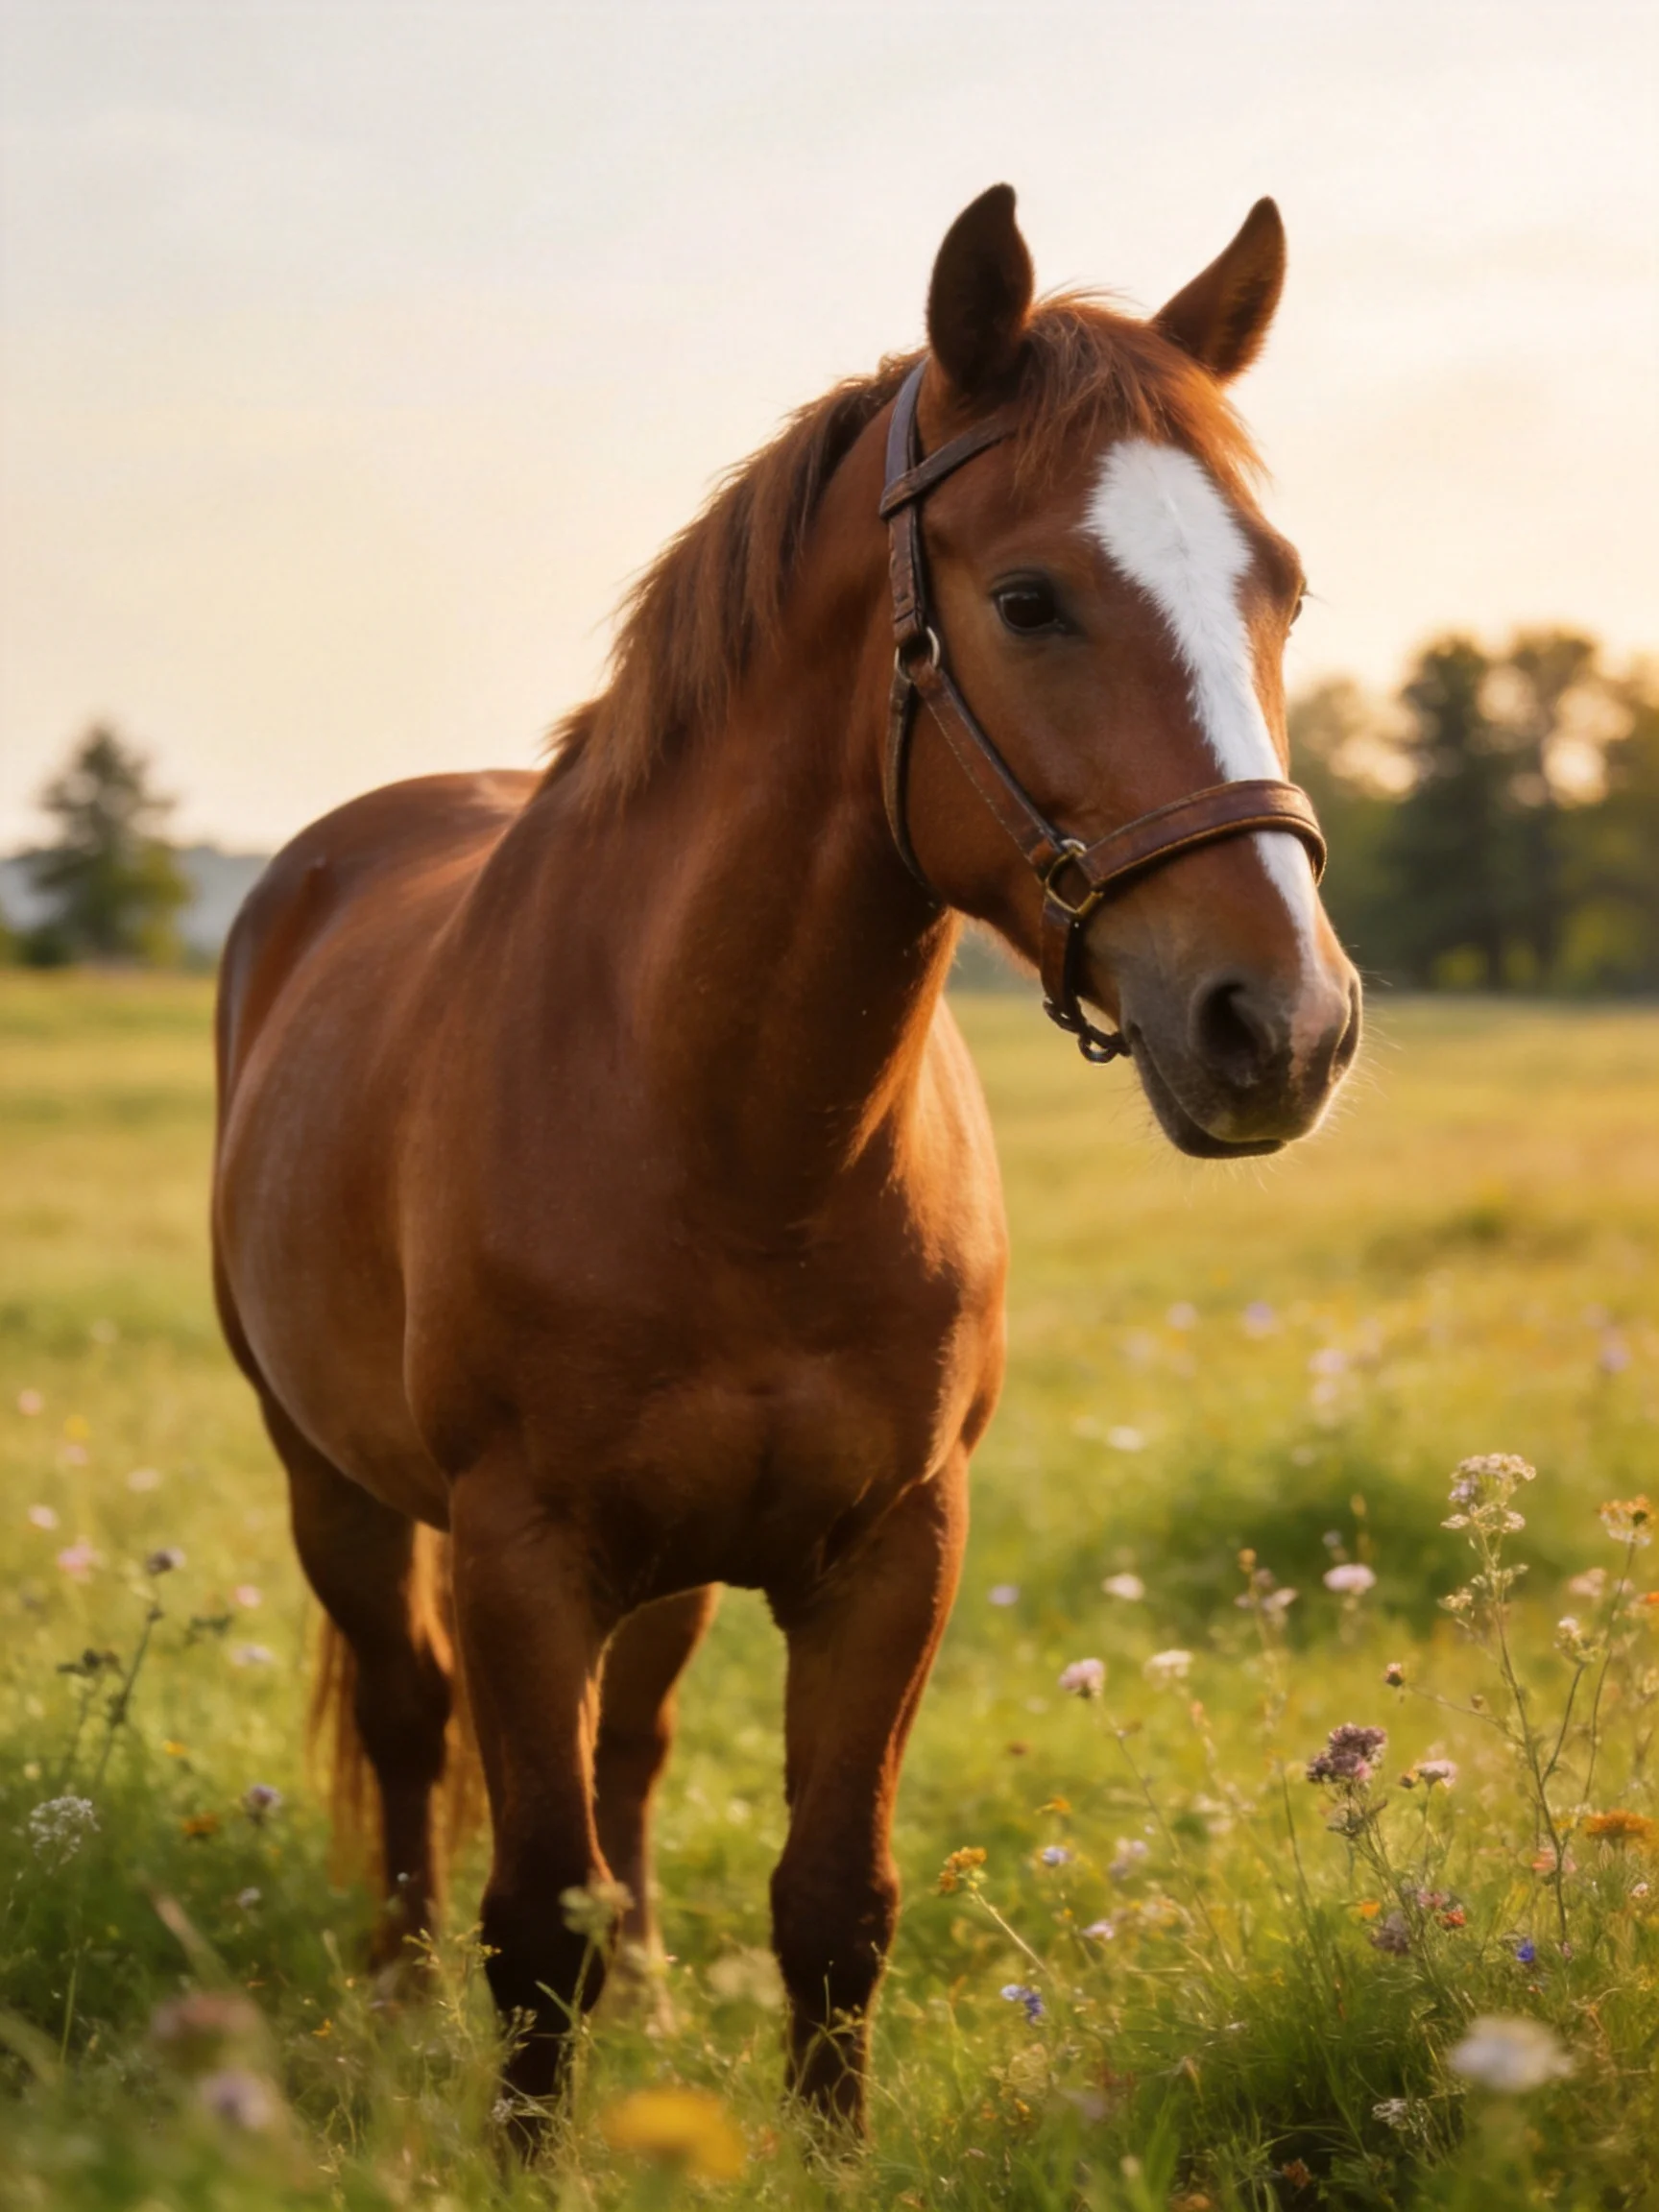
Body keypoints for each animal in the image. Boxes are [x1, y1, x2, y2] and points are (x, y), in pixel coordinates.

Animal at [211, 183, 1361, 2132]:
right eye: (1029, 598)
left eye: (1274, 585)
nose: (1282, 1025)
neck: (737, 1141)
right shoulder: (521, 1554)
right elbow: (534, 1924)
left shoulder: (892, 1551)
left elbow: (831, 1902)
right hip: (334, 1484)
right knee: (403, 1719)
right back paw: (390, 2000)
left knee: (636, 1747)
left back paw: (660, 1991)